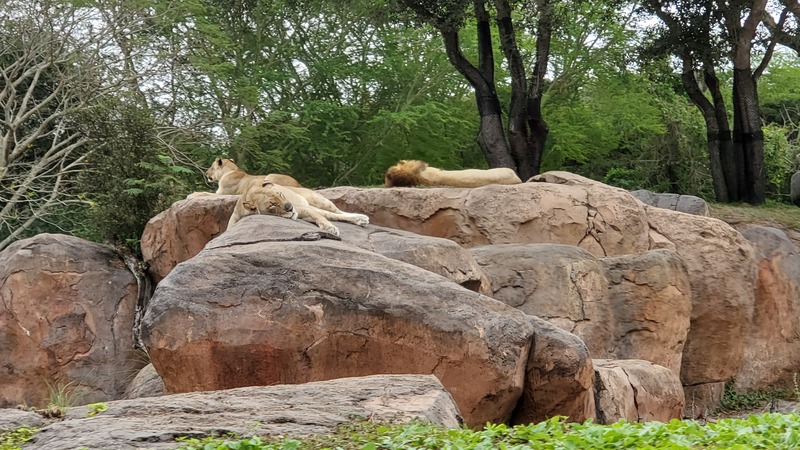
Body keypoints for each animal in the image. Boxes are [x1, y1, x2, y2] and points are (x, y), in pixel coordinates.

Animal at [228, 179, 372, 237]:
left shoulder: (302, 209)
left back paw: (362, 218)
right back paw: (361, 220)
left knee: (337, 212)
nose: (290, 207)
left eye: (280, 194)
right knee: (333, 215)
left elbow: (321, 217)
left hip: (319, 201)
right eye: (272, 205)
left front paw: (330, 228)